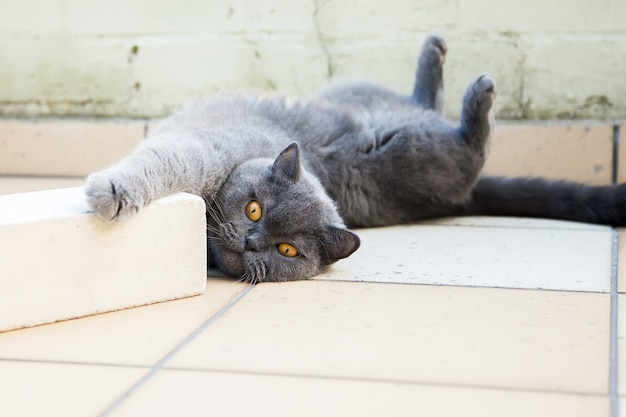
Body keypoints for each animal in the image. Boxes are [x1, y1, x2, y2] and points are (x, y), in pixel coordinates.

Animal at [84, 34, 624, 282]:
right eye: (254, 208)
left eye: (286, 251)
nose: (253, 240)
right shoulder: (197, 151)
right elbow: (158, 163)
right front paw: (109, 192)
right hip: (376, 111)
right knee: (430, 104)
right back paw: (441, 55)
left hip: (416, 157)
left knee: (472, 145)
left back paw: (476, 84)